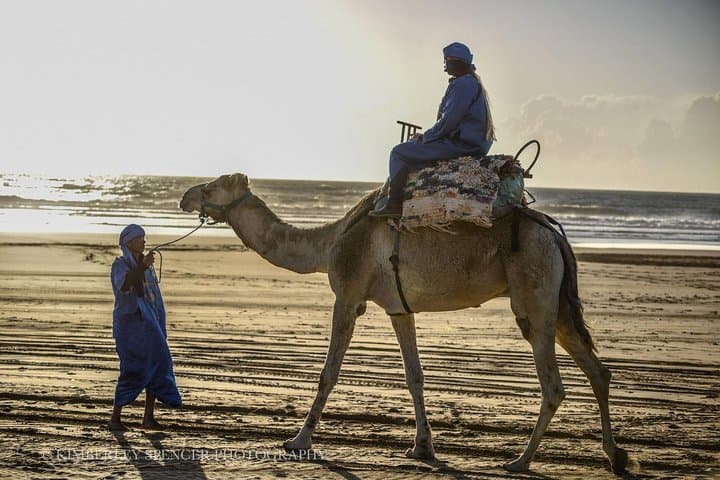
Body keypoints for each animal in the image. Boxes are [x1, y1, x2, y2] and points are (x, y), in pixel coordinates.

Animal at [180, 173, 628, 474]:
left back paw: (520, 460)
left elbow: (329, 373)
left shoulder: (348, 296)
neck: (328, 244)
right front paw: (422, 448)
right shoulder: (399, 308)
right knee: (598, 370)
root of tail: (555, 234)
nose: (184, 196)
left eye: (214, 185)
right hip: (559, 304)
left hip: (534, 295)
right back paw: (615, 455)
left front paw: (298, 440)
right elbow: (414, 375)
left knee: (554, 384)